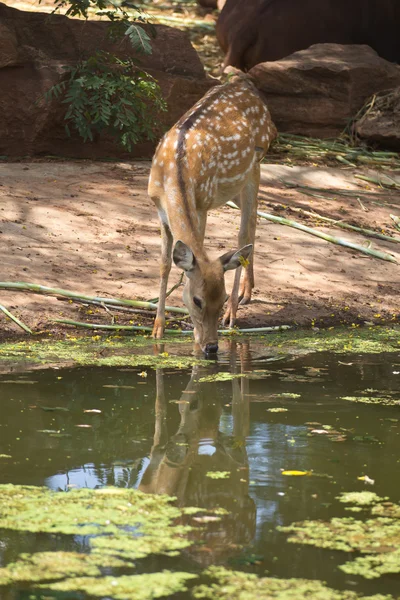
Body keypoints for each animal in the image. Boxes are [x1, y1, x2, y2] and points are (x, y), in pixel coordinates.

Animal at [148, 70, 276, 354]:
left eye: (222, 297)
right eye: (197, 300)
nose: (211, 347)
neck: (174, 175)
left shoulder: (202, 203)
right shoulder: (159, 210)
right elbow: (163, 264)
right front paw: (157, 329)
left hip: (253, 168)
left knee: (244, 232)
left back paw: (235, 312)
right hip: (235, 188)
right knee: (253, 226)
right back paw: (248, 291)